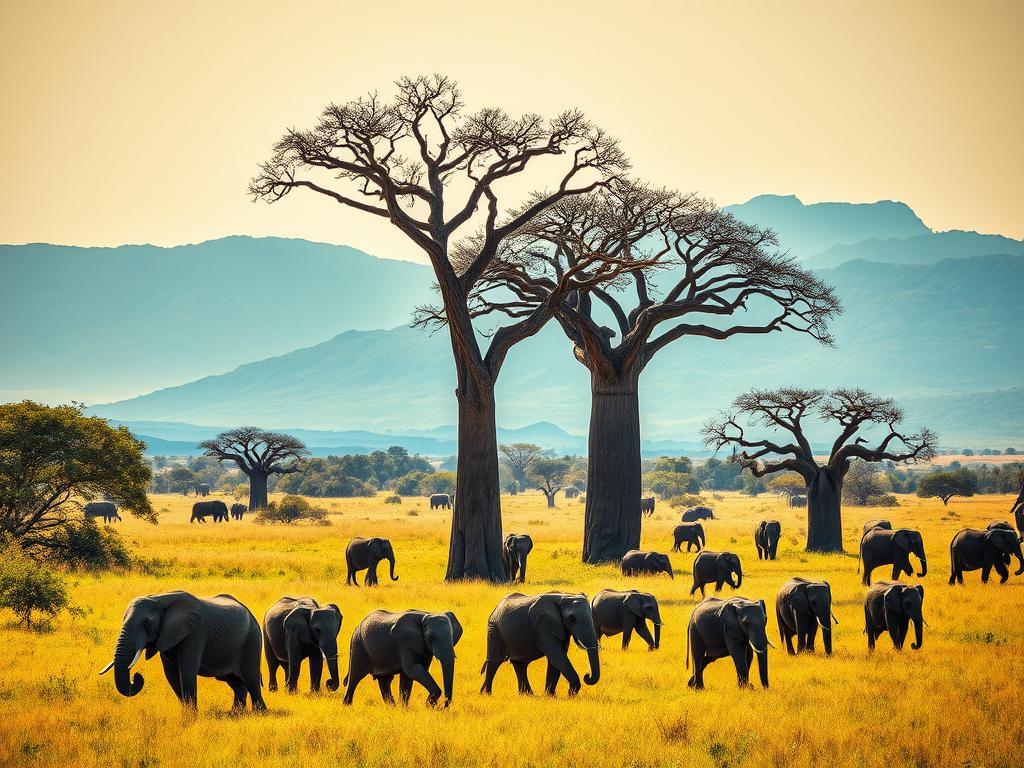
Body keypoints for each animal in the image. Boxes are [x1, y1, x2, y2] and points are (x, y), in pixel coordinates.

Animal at [99, 591, 265, 711]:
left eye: (147, 623)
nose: (137, 677)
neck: (159, 599)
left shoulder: (195, 633)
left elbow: (186, 671)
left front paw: (191, 719)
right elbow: (171, 675)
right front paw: (186, 717)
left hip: (252, 640)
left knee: (251, 679)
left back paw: (259, 713)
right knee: (235, 682)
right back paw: (235, 714)